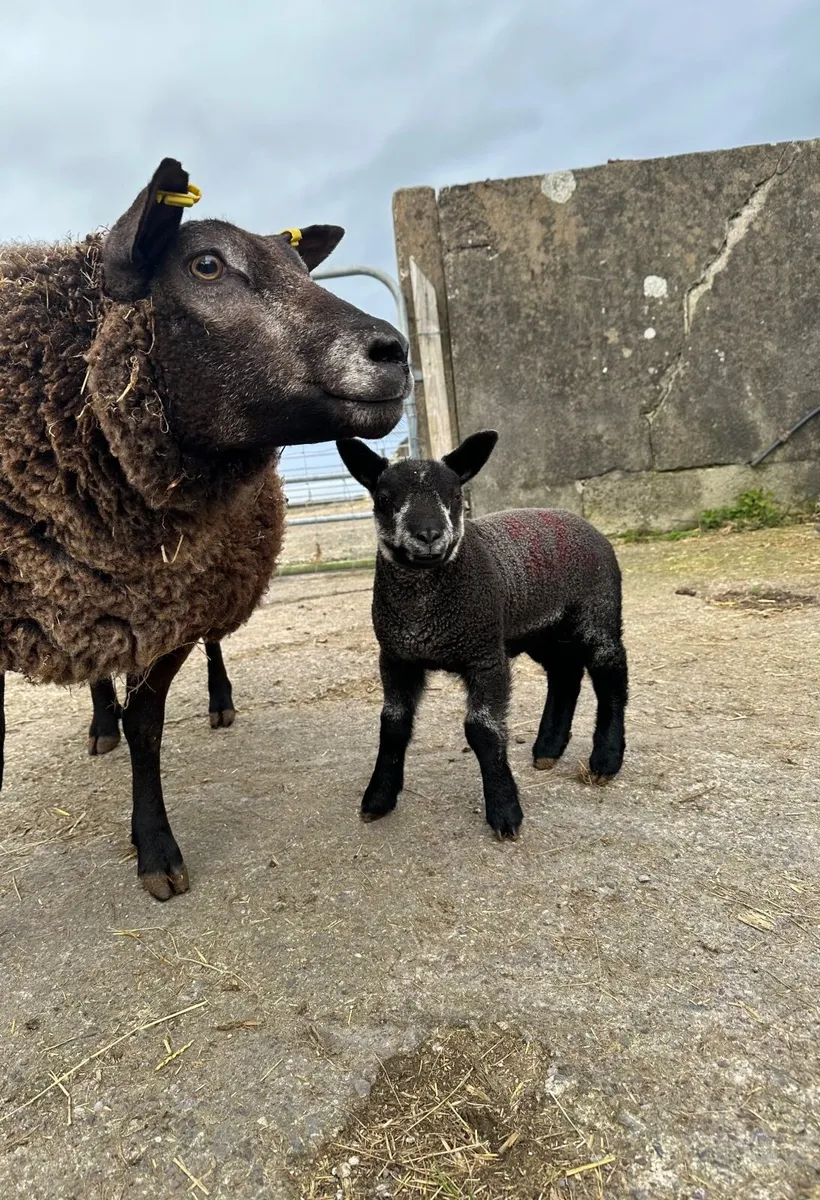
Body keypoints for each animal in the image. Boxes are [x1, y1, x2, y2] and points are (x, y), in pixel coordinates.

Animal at [0, 156, 409, 899]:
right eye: (207, 265)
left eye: (301, 267)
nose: (393, 352)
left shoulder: (174, 609)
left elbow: (148, 727)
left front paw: (155, 850)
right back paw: (99, 722)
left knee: (216, 643)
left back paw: (218, 702)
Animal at [335, 430, 628, 839]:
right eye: (384, 499)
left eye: (455, 496)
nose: (429, 535)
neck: (423, 613)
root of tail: (583, 522)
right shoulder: (395, 657)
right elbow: (393, 725)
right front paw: (378, 798)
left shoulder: (485, 655)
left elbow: (483, 731)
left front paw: (505, 811)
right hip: (541, 629)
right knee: (565, 674)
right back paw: (548, 749)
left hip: (597, 611)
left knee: (610, 674)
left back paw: (605, 759)